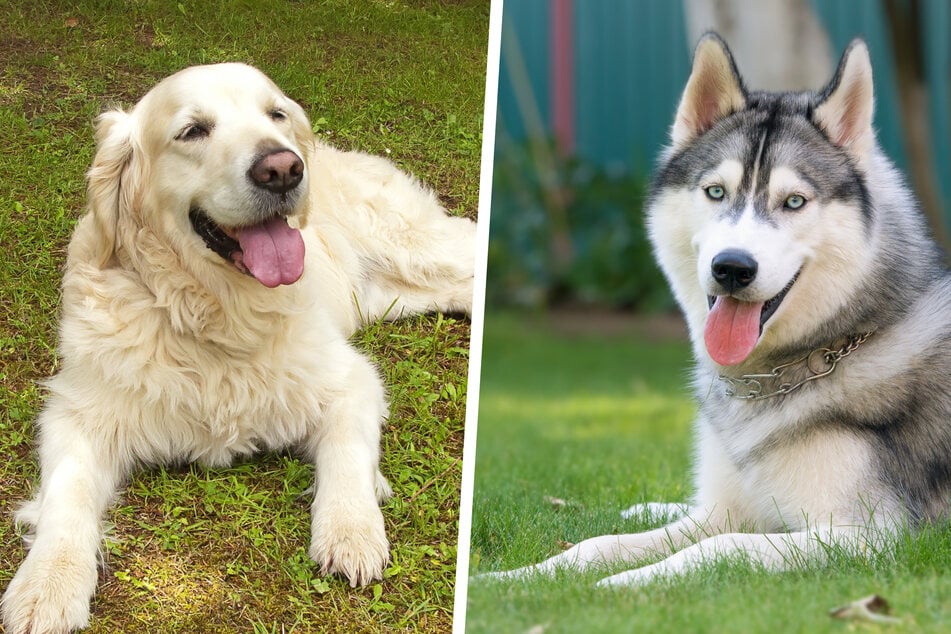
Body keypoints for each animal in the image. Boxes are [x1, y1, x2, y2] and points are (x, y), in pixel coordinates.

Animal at [0, 60, 476, 632]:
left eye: (276, 114)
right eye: (192, 131)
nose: (284, 169)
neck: (217, 312)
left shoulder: (350, 381)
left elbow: (346, 455)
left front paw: (351, 531)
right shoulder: (77, 413)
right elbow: (65, 497)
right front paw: (47, 584)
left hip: (417, 250)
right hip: (393, 294)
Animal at [484, 33, 951, 588]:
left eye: (794, 201)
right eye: (715, 191)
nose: (732, 267)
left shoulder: (870, 538)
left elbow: (717, 549)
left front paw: (620, 586)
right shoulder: (723, 511)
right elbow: (598, 544)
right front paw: (512, 579)